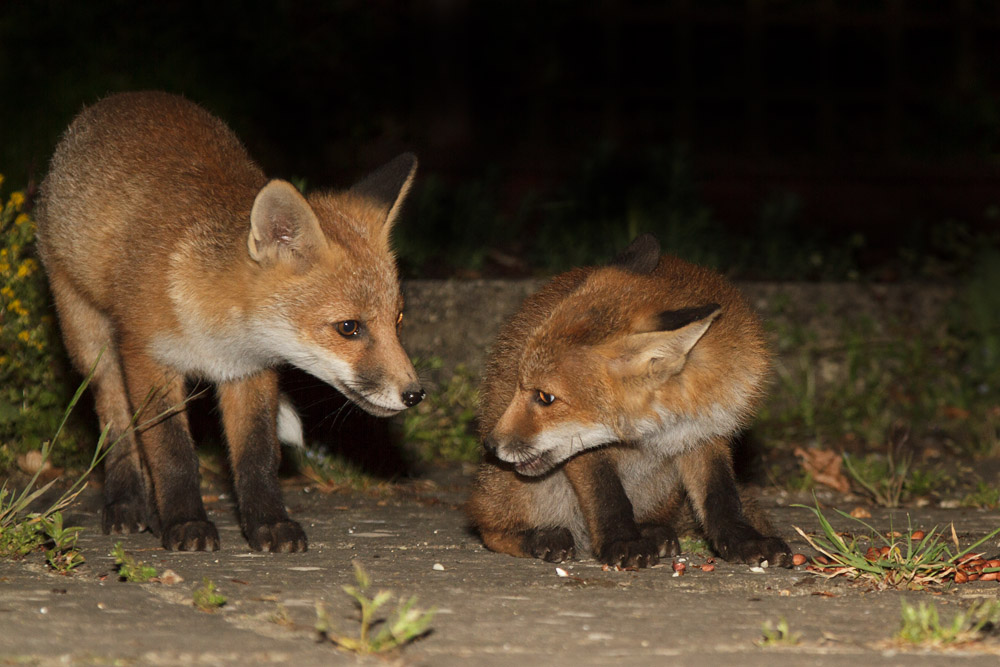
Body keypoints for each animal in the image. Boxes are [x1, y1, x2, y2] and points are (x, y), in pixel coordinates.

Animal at [36, 91, 424, 552]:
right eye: (349, 328)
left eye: (398, 319)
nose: (415, 394)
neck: (218, 333)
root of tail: (124, 98)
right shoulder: (148, 360)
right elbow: (172, 452)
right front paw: (185, 522)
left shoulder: (250, 372)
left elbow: (258, 456)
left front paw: (268, 523)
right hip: (90, 341)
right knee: (114, 418)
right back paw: (126, 502)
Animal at [466, 234, 791, 568]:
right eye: (521, 386)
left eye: (545, 397)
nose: (489, 444)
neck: (664, 426)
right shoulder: (582, 448)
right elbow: (608, 497)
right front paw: (622, 542)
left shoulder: (705, 434)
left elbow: (722, 497)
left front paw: (744, 540)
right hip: (522, 493)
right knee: (487, 525)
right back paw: (540, 537)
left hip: (662, 488)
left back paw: (652, 531)